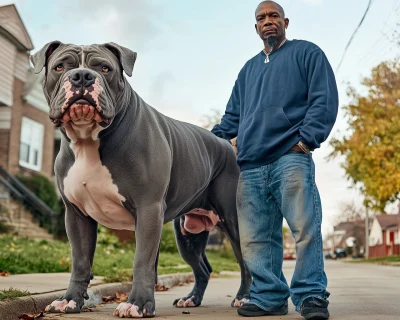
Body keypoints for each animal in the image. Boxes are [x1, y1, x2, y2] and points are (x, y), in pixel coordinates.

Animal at [31, 42, 250, 318]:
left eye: (105, 68)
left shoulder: (148, 209)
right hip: (187, 235)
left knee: (247, 262)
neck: (88, 140)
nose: (82, 76)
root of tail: (228, 146)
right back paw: (191, 299)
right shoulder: (76, 215)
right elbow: (80, 261)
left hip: (234, 221)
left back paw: (245, 298)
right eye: (60, 67)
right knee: (203, 268)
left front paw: (137, 303)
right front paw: (70, 300)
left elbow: (142, 261)